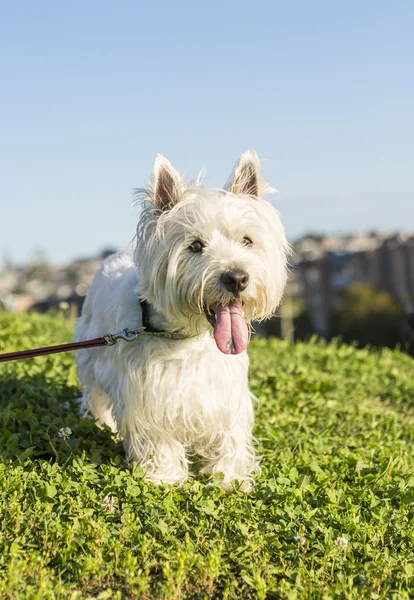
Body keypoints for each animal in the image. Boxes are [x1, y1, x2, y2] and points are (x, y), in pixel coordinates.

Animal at [75, 148, 288, 490]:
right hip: (90, 353)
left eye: (247, 240)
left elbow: (230, 435)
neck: (189, 338)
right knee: (94, 395)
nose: (237, 277)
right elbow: (157, 438)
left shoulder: (225, 395)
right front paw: (165, 476)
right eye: (195, 245)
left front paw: (230, 477)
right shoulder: (145, 395)